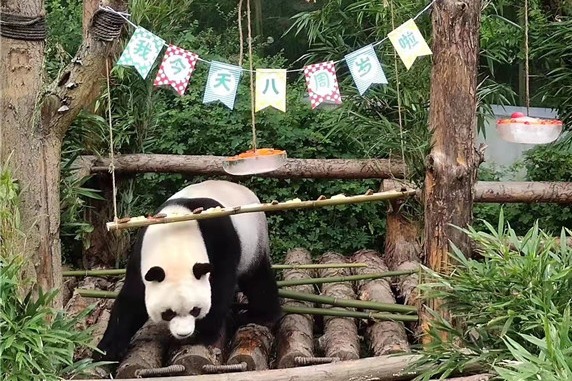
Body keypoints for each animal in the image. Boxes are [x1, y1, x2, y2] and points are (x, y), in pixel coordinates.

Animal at [96, 180, 284, 360]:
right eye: (168, 313)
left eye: (195, 310)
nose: (183, 334)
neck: (174, 243)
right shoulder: (140, 256)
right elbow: (132, 298)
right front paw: (107, 350)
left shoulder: (220, 238)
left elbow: (219, 286)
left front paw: (202, 334)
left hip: (253, 241)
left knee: (257, 279)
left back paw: (260, 316)